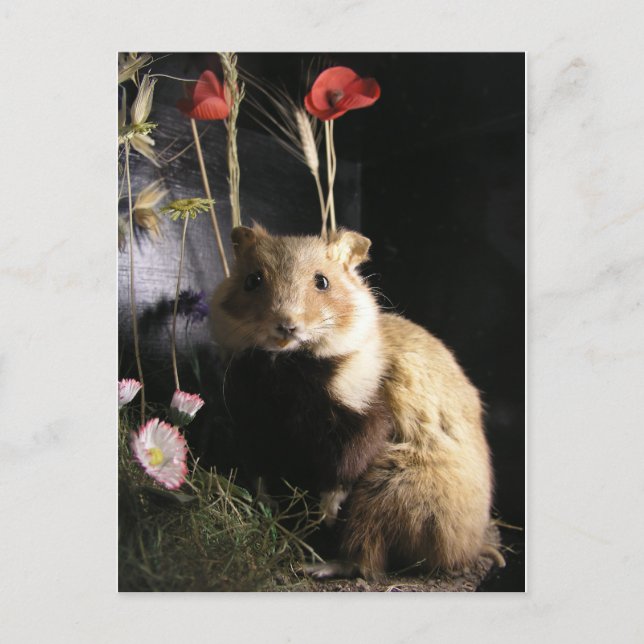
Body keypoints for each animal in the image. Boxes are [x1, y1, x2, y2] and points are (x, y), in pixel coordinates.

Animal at [210, 224, 504, 579]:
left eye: (322, 281)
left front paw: (326, 514)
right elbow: (259, 470)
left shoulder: (364, 417)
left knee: (366, 560)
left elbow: (345, 468)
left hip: (384, 492)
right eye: (252, 280)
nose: (286, 325)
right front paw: (267, 502)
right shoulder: (255, 423)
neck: (287, 366)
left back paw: (317, 566)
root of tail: (468, 551)